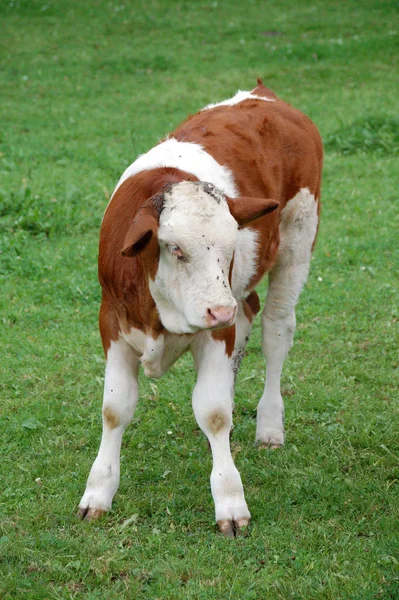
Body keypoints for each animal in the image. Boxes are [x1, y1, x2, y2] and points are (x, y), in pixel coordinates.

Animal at [77, 78, 322, 536]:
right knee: (248, 312)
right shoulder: (112, 323)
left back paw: (269, 426)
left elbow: (213, 412)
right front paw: (97, 493)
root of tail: (263, 96)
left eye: (230, 246)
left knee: (276, 330)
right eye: (175, 248)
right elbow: (115, 410)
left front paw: (230, 502)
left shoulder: (217, 328)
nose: (219, 311)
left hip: (298, 239)